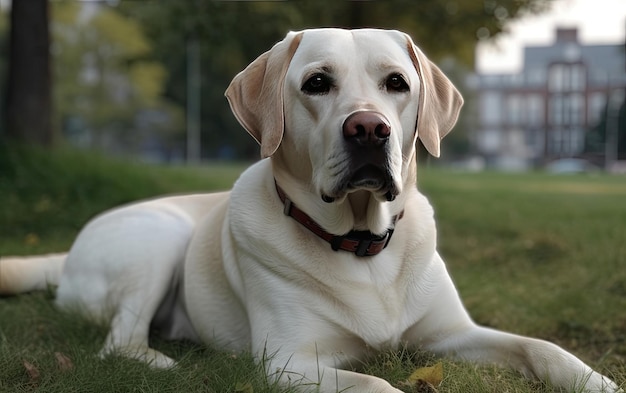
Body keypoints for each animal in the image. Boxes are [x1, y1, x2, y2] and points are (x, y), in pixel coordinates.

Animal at [0, 28, 616, 392]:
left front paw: (598, 381)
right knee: (119, 342)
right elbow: (379, 384)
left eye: (397, 83)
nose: (369, 129)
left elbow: (540, 347)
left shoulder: (451, 334)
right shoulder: (289, 362)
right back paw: (167, 359)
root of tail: (67, 255)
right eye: (317, 83)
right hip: (158, 238)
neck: (363, 244)